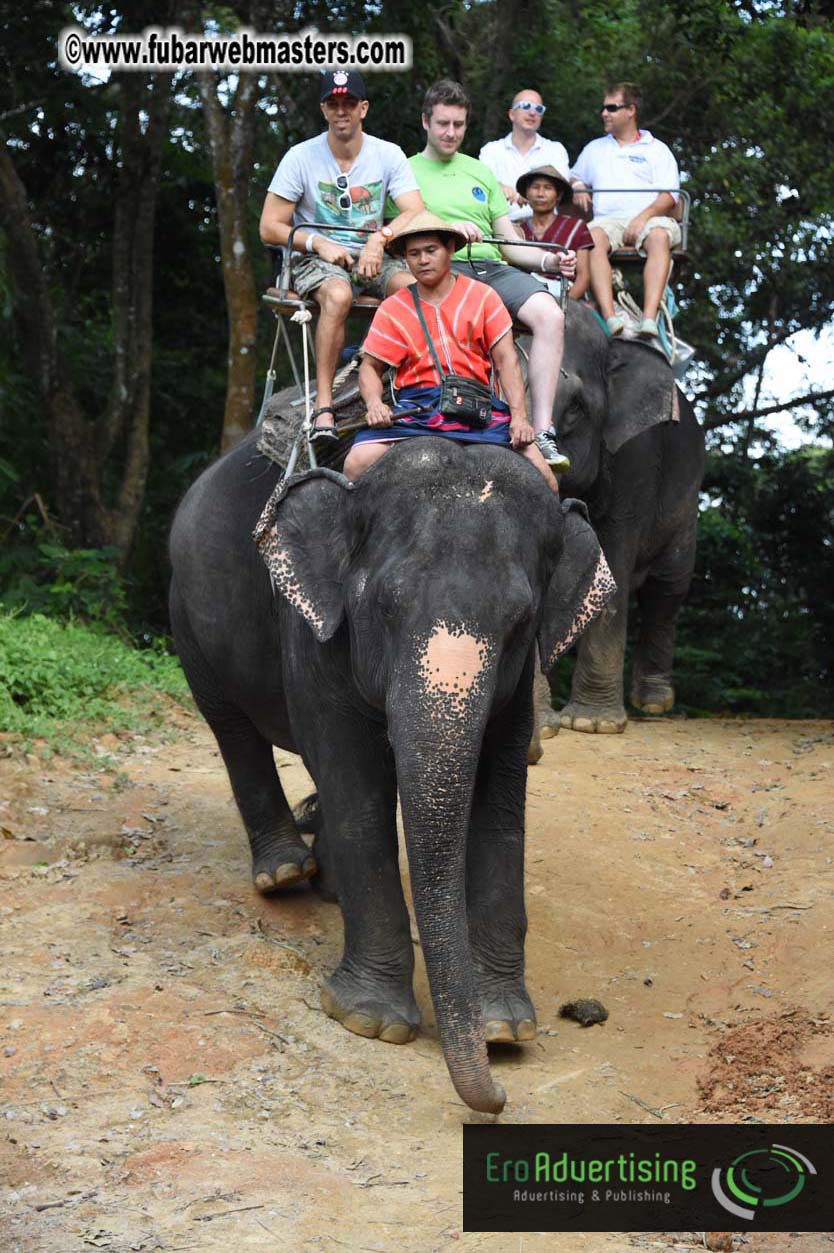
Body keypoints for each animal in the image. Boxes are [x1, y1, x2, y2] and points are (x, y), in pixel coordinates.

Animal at [169, 435, 614, 1114]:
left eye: (520, 623)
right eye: (383, 607)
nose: (498, 1099)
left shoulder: (519, 687)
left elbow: (500, 803)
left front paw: (506, 1030)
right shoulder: (311, 631)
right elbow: (357, 787)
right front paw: (371, 1022)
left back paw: (323, 881)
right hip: (187, 614)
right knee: (232, 726)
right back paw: (286, 873)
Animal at [531, 302, 706, 735]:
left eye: (576, 407)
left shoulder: (636, 457)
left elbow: (611, 556)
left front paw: (592, 724)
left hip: (687, 502)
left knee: (668, 588)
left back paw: (654, 703)